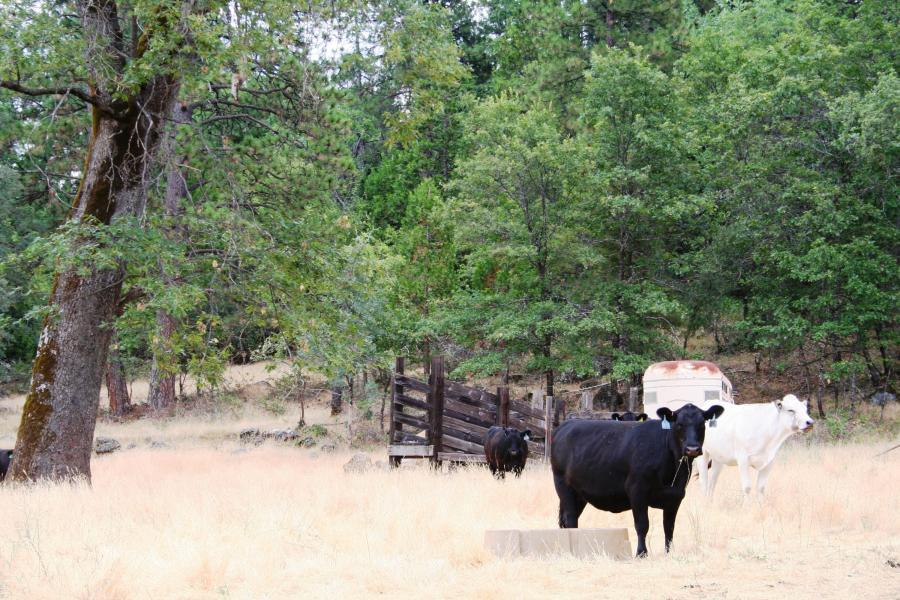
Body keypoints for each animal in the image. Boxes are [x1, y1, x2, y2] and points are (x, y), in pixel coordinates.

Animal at [552, 403, 724, 557]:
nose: (692, 449)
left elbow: (669, 527)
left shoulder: (676, 495)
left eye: (702, 424)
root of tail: (566, 425)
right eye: (679, 424)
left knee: (566, 520)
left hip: (580, 494)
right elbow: (642, 524)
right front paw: (641, 553)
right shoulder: (637, 490)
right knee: (570, 519)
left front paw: (669, 553)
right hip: (563, 486)